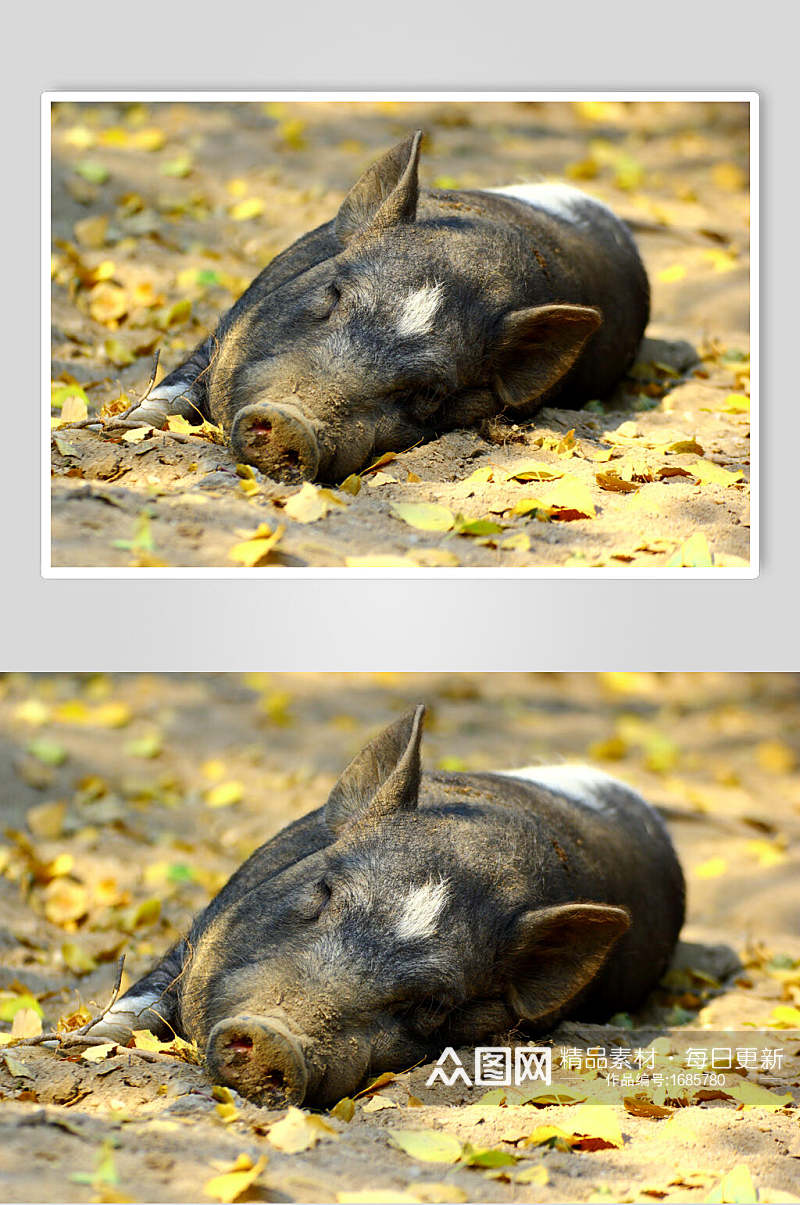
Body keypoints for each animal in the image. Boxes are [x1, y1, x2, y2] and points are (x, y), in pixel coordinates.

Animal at [89, 703, 689, 1108]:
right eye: (323, 892)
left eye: (434, 1003)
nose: (277, 1038)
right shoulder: (192, 935)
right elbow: (136, 1006)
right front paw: (86, 1041)